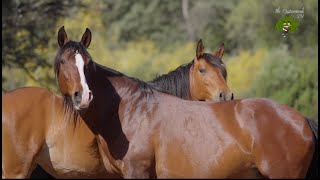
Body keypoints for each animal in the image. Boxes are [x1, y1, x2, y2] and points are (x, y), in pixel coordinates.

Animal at [54, 26, 318, 179]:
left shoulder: (136, 172)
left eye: (88, 63)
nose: (83, 96)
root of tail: (302, 120)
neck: (128, 110)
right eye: (64, 62)